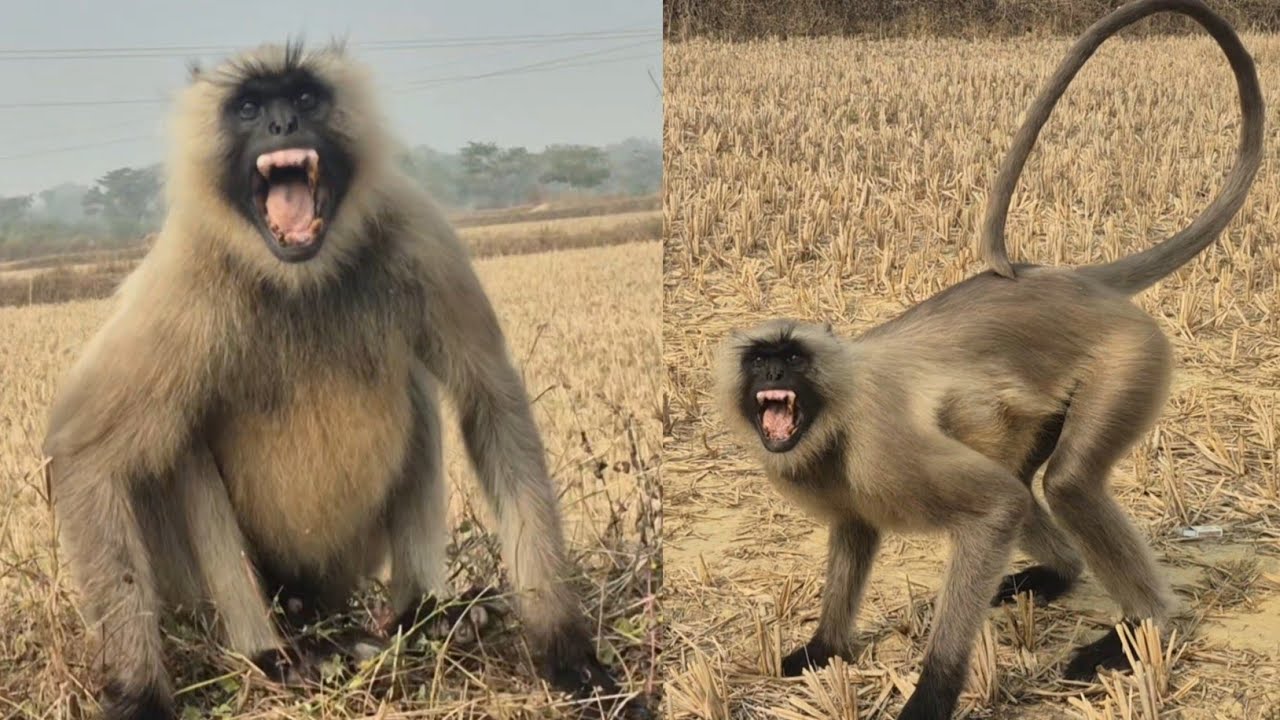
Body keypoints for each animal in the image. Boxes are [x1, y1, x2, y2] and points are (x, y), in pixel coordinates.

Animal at [42, 41, 635, 720]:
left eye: (304, 97)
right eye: (249, 107)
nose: (282, 125)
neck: (301, 274)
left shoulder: (416, 227)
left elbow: (490, 399)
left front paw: (566, 649)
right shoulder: (183, 274)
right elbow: (84, 454)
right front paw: (140, 696)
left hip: (350, 560)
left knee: (414, 390)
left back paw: (423, 616)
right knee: (181, 443)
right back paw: (273, 652)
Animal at [711, 1, 1262, 718]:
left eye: (794, 359)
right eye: (760, 361)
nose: (775, 375)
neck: (834, 408)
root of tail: (1076, 281)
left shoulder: (881, 449)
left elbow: (995, 507)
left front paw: (932, 694)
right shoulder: (840, 483)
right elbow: (860, 533)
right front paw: (826, 647)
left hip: (1131, 356)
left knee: (1065, 483)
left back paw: (1148, 626)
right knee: (1030, 483)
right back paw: (1061, 575)